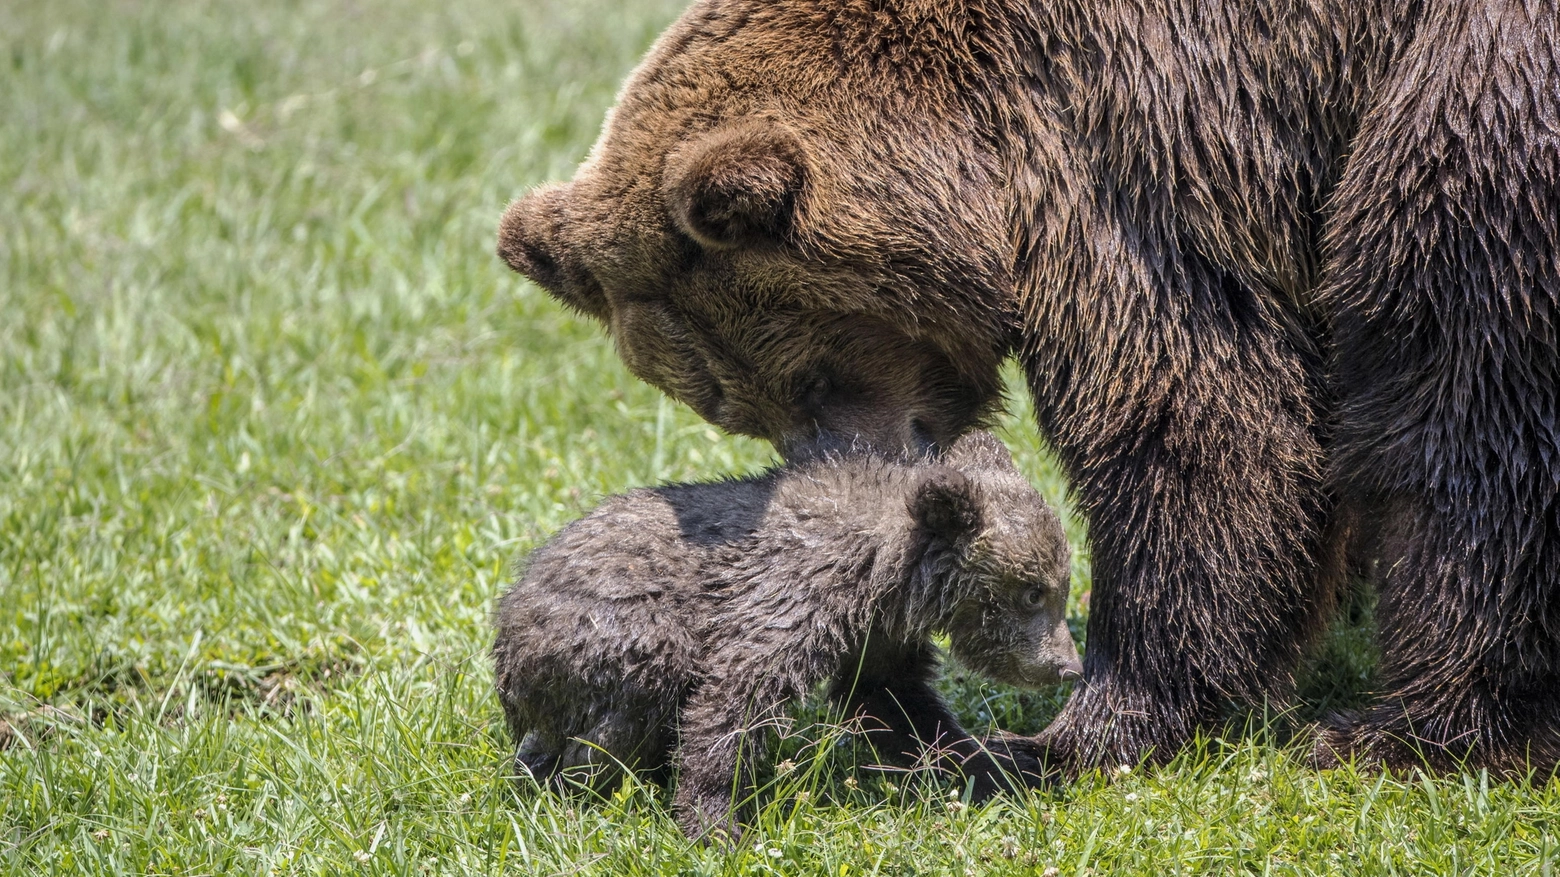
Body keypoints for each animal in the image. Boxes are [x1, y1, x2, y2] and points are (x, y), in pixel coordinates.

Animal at [496, 3, 1560, 774]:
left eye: (811, 378)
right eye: (731, 406)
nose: (831, 503)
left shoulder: (1139, 137)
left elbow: (1199, 411)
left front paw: (1070, 732)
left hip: (1478, 101)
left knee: (1460, 381)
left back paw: (1400, 729)